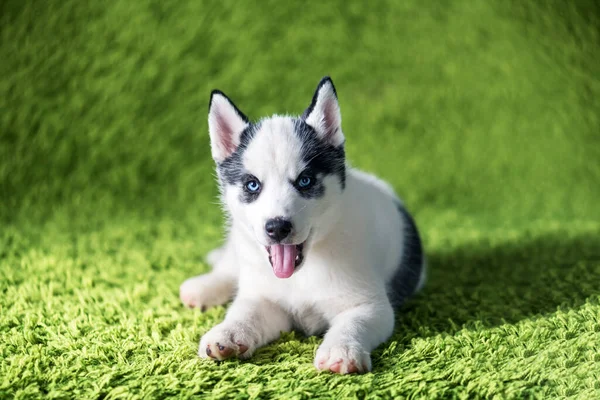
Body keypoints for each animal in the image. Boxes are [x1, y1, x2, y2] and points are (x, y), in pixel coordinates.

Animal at [180, 76, 424, 374]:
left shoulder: (369, 305)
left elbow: (354, 323)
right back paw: (203, 286)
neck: (302, 273)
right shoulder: (263, 298)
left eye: (305, 181)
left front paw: (341, 349)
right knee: (229, 268)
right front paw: (227, 332)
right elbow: (244, 312)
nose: (277, 228)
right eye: (252, 185)